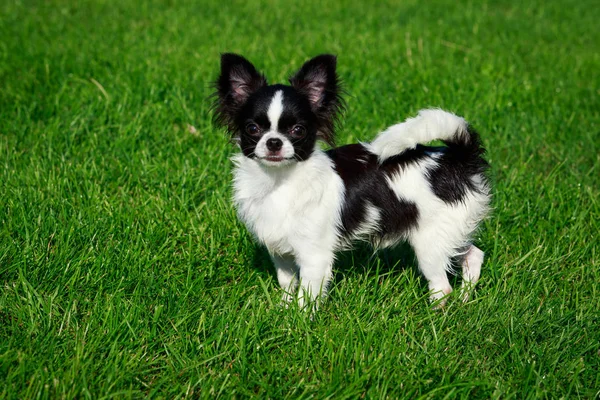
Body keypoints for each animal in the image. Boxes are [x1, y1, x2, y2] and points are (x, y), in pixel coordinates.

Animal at [213, 53, 490, 310]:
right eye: (252, 129)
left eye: (298, 130)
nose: (273, 142)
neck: (279, 182)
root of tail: (458, 159)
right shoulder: (281, 252)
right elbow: (288, 283)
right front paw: (283, 309)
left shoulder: (314, 256)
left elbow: (307, 295)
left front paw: (298, 321)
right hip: (450, 232)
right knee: (473, 255)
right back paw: (465, 299)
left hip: (429, 241)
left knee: (443, 286)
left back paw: (434, 312)